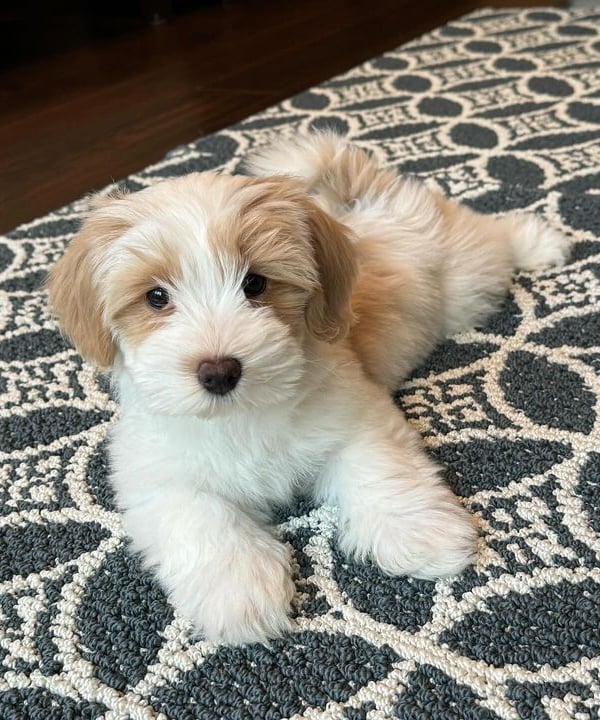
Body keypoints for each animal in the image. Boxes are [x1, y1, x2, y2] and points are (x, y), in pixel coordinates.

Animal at [45, 132, 568, 644]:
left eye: (255, 284)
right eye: (156, 297)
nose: (218, 371)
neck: (244, 415)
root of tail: (370, 197)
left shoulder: (356, 415)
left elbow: (380, 469)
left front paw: (421, 533)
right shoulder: (153, 473)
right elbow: (199, 516)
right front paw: (239, 589)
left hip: (465, 282)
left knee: (491, 238)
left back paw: (538, 242)